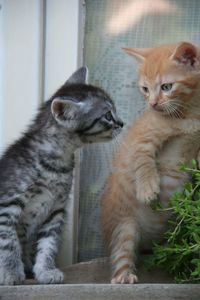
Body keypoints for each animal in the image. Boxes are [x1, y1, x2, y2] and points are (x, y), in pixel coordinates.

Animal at [0, 67, 123, 284]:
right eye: (108, 115)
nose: (122, 123)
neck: (57, 164)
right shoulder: (8, 202)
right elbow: (8, 241)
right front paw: (10, 272)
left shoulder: (56, 210)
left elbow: (48, 244)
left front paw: (46, 270)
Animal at [101, 42, 200, 284]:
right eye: (145, 89)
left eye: (166, 87)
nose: (153, 104)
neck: (189, 113)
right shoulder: (141, 140)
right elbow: (143, 160)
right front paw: (147, 188)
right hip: (125, 226)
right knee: (121, 253)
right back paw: (124, 276)